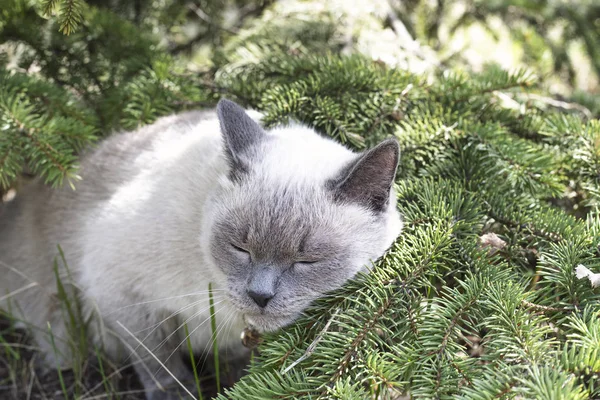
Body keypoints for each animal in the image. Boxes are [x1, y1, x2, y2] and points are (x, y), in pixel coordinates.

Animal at [1, 98, 404, 398]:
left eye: (307, 260)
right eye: (240, 248)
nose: (259, 296)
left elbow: (234, 369)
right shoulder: (120, 292)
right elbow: (158, 362)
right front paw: (180, 393)